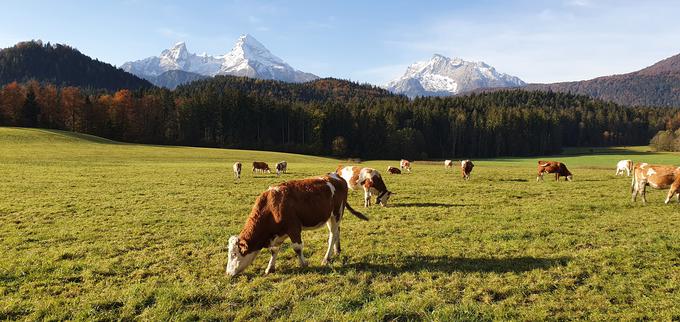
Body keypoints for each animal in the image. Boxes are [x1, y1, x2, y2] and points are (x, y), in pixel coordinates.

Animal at [226, 174, 370, 276]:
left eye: (234, 254)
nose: (228, 273)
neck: (272, 206)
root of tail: (337, 177)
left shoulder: (294, 228)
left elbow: (297, 247)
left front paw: (304, 264)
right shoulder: (278, 233)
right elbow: (274, 250)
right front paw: (270, 268)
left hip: (337, 213)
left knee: (332, 235)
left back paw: (326, 258)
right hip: (330, 217)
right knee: (336, 233)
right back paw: (337, 250)